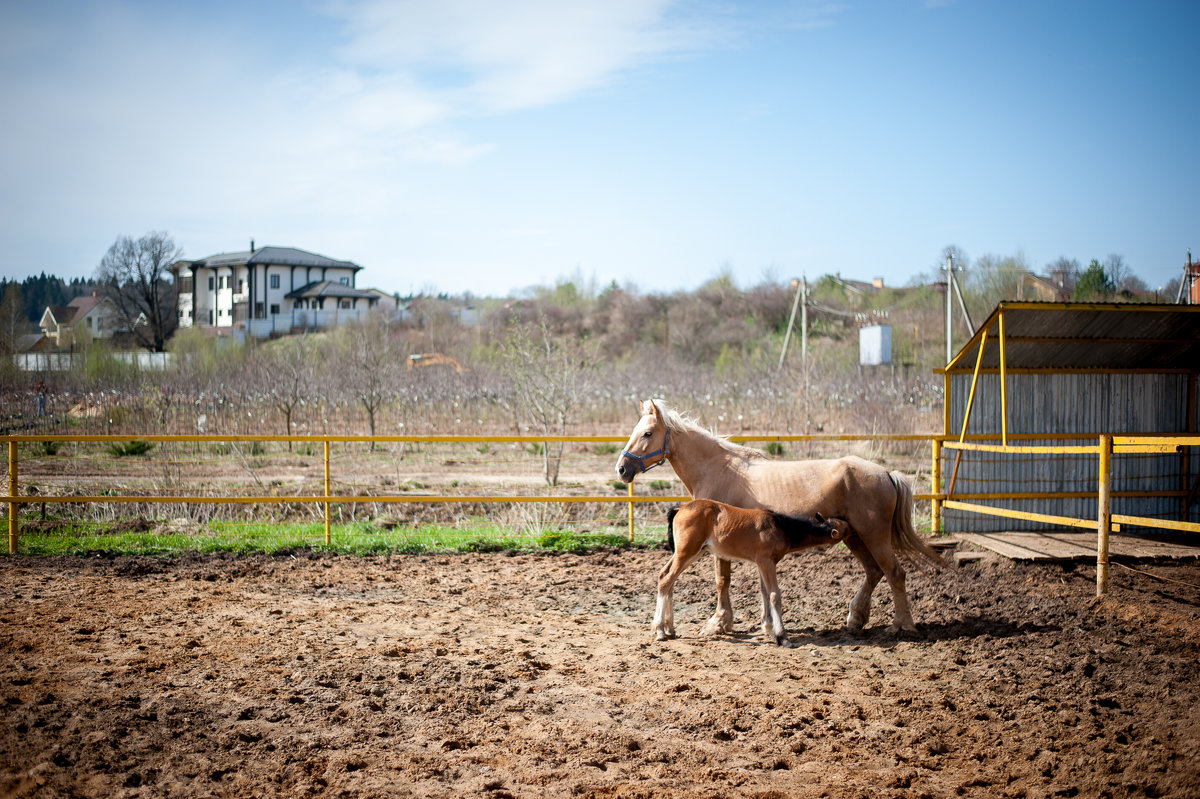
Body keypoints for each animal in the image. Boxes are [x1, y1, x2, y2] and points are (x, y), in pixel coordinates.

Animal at [657, 501, 854, 643]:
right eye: (846, 528)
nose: (855, 529)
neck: (781, 526)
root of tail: (680, 507)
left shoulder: (762, 563)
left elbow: (764, 592)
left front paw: (768, 628)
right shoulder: (767, 562)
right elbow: (774, 594)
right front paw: (782, 636)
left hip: (692, 553)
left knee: (666, 577)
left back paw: (670, 629)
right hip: (686, 552)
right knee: (666, 581)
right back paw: (660, 630)